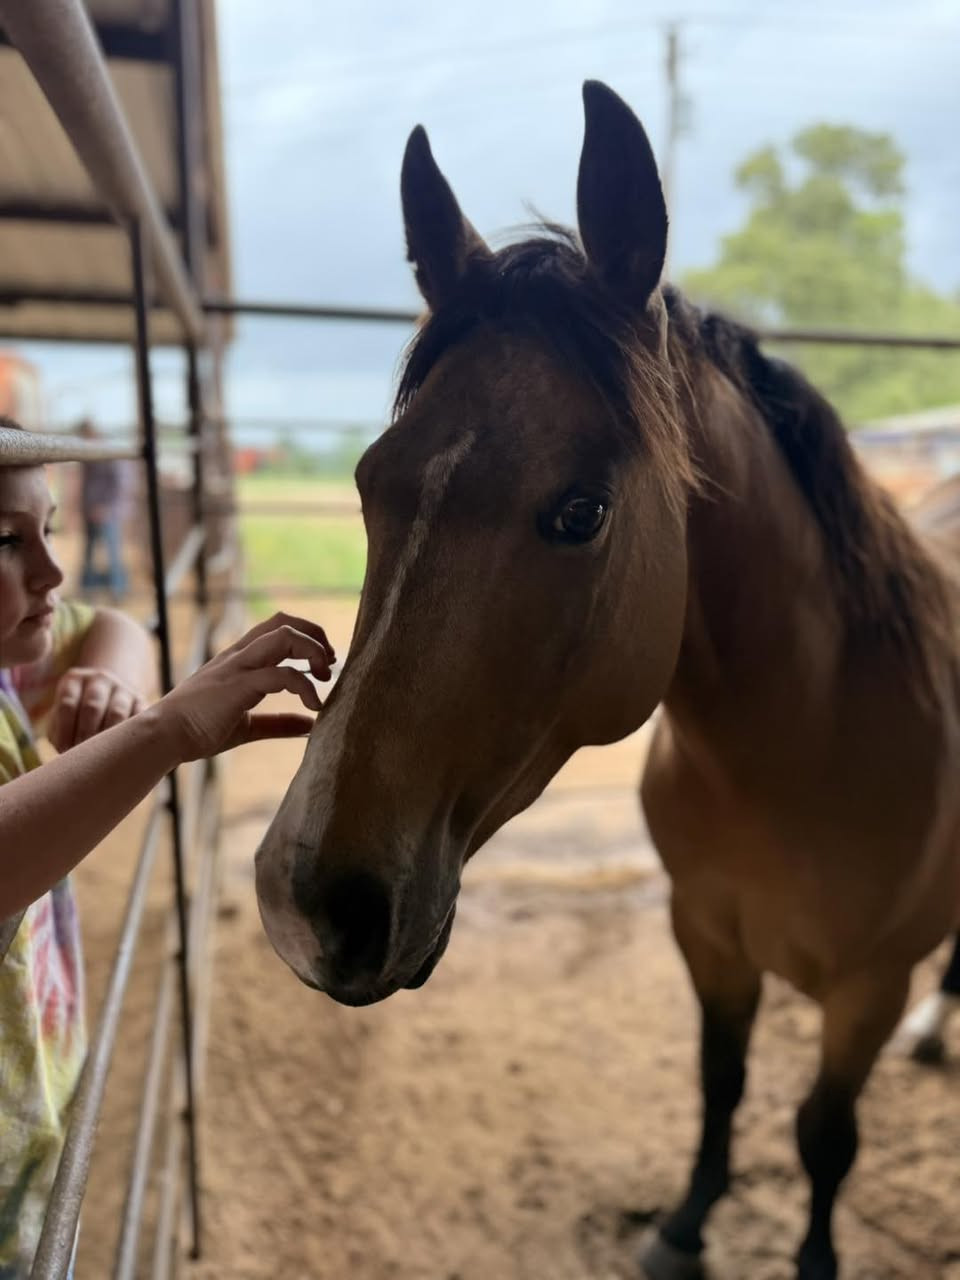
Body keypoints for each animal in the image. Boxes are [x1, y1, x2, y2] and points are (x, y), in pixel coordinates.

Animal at [255, 82, 960, 1280]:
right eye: (368, 480)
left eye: (581, 510)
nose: (312, 903)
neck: (811, 750)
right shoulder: (706, 939)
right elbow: (720, 1082)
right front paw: (682, 1226)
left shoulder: (866, 991)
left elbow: (824, 1135)